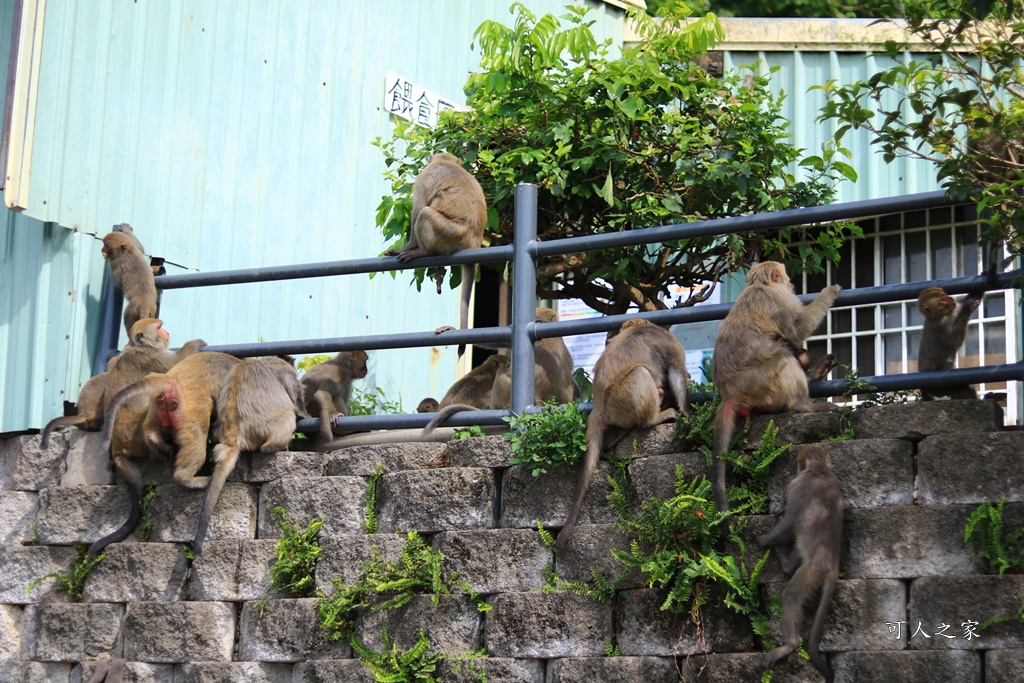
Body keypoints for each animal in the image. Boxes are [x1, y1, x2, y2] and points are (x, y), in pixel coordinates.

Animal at [190, 358, 305, 557]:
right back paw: (275, 446)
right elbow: (294, 395)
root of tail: (233, 434)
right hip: (266, 426)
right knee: (287, 417)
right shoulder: (285, 370)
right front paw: (303, 412)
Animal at [387, 152, 491, 358]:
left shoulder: (423, 178)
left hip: (448, 234)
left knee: (426, 213)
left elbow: (418, 208)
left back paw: (422, 251)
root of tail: (472, 242)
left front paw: (405, 248)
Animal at [557, 317, 692, 552]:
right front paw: (686, 410)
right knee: (640, 374)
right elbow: (676, 371)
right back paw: (655, 417)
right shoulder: (667, 342)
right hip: (623, 398)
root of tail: (599, 405)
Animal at [712, 264, 839, 509]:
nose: (791, 284)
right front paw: (830, 291)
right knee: (782, 355)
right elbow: (798, 328)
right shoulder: (779, 302)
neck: (760, 286)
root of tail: (729, 394)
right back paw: (804, 406)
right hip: (761, 384)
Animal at [761, 444, 839, 683]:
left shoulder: (797, 486)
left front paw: (763, 540)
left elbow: (789, 521)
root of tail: (832, 565)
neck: (819, 470)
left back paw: (790, 644)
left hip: (810, 573)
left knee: (792, 595)